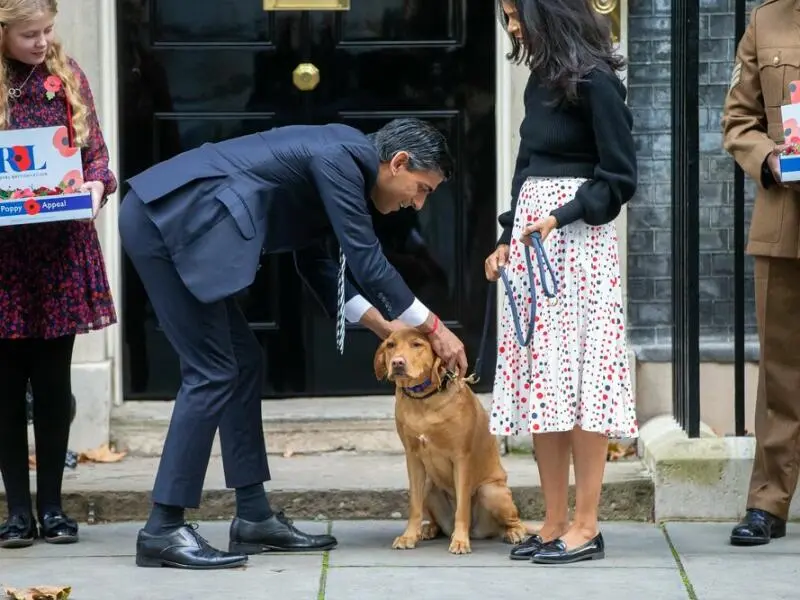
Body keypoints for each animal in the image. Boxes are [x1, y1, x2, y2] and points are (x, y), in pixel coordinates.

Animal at [376, 328, 532, 552]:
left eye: (417, 344)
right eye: (390, 345)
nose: (397, 363)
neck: (423, 398)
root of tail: (478, 531)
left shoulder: (461, 458)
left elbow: (462, 508)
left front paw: (459, 540)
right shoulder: (413, 458)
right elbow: (414, 506)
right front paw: (409, 536)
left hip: (491, 491)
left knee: (512, 521)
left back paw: (513, 532)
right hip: (429, 486)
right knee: (435, 516)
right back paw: (429, 529)